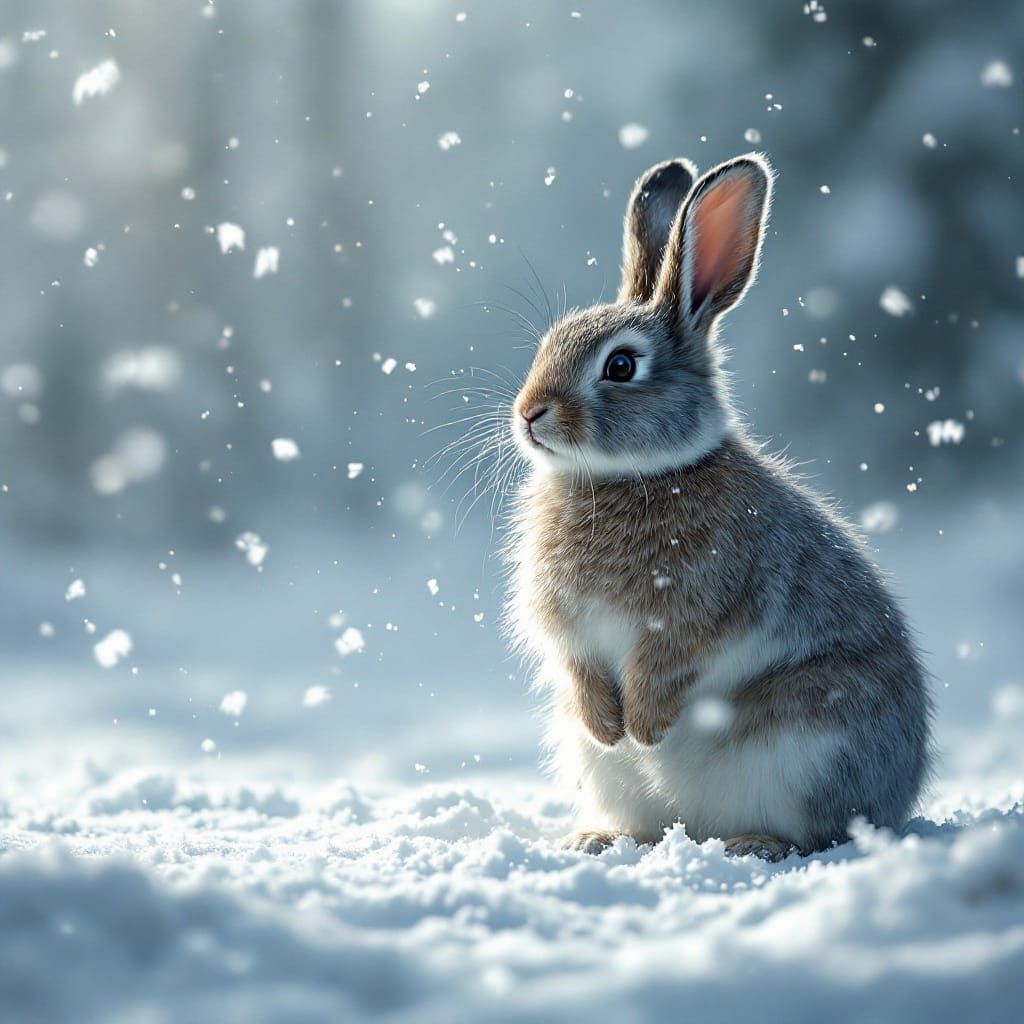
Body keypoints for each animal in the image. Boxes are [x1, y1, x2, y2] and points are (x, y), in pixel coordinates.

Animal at [504, 153, 933, 861]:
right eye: (547, 343)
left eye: (620, 366)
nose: (529, 413)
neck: (635, 476)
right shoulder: (570, 631)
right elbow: (580, 668)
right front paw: (611, 728)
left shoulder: (702, 614)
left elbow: (667, 666)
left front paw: (645, 730)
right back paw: (600, 839)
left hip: (809, 744)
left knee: (820, 832)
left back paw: (752, 844)